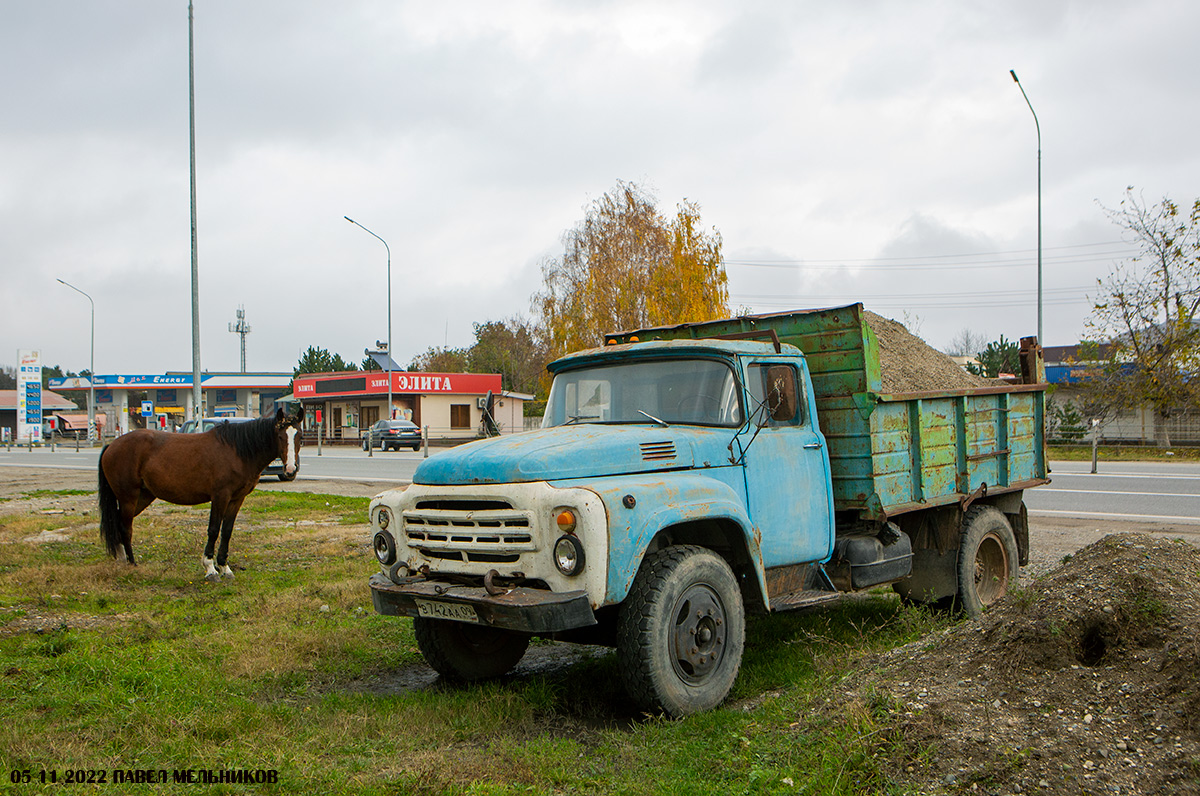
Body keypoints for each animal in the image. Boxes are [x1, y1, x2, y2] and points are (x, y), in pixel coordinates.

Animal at [98, 408, 304, 583]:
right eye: (280, 436)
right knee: (125, 528)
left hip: (143, 497)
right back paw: (132, 563)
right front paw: (211, 569)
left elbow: (227, 531)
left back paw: (121, 560)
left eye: (300, 437)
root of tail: (111, 445)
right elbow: (213, 530)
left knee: (118, 522)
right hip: (129, 497)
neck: (237, 451)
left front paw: (225, 567)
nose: (290, 470)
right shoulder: (220, 496)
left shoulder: (236, 499)